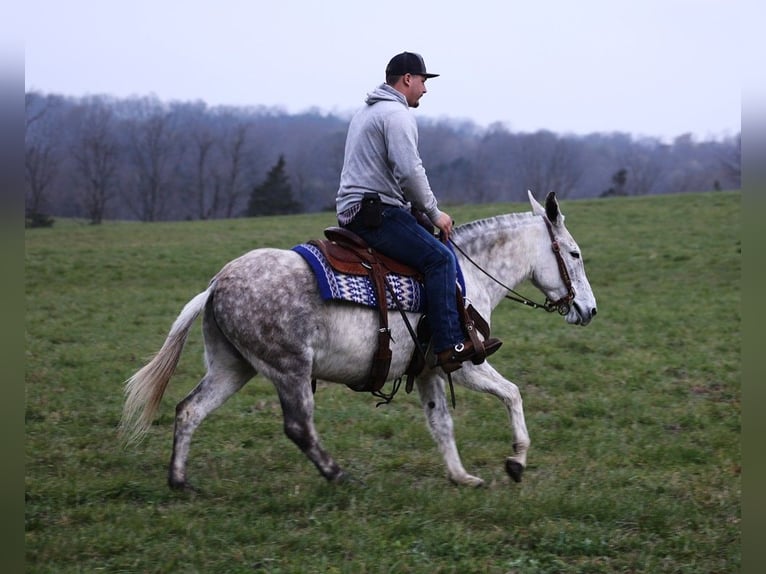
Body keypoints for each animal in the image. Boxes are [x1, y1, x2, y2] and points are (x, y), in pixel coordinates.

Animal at [121, 191, 600, 488]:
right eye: (575, 253)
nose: (590, 310)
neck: (466, 275)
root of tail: (217, 284)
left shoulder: (428, 370)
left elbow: (441, 424)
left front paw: (461, 476)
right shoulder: (465, 362)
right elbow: (513, 394)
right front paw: (516, 461)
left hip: (231, 368)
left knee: (189, 410)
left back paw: (180, 481)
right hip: (290, 370)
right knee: (299, 427)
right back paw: (337, 475)